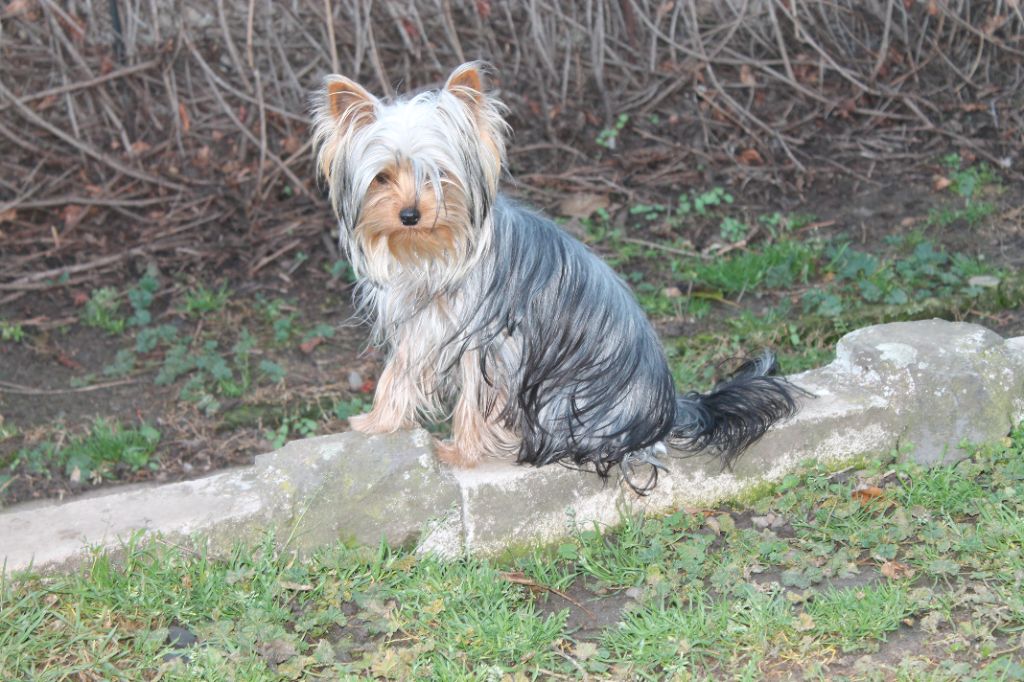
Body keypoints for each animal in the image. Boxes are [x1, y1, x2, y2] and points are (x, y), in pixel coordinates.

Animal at [311, 62, 798, 489]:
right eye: (382, 178)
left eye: (439, 176)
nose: (410, 215)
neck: (433, 253)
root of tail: (666, 410)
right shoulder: (423, 325)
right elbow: (398, 372)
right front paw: (376, 422)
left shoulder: (491, 342)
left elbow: (475, 398)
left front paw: (460, 453)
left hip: (566, 399)